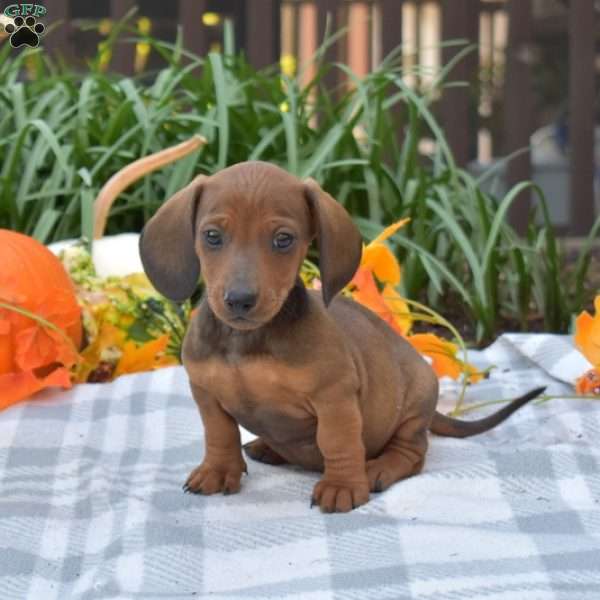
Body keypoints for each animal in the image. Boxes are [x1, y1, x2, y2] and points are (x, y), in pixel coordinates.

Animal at [139, 162, 544, 512]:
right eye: (212, 236)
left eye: (283, 239)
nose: (239, 300)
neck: (247, 342)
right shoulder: (207, 394)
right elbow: (220, 434)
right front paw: (218, 471)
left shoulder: (333, 398)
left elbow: (338, 442)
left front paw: (343, 486)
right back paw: (270, 447)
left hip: (415, 404)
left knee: (412, 452)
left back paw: (379, 468)